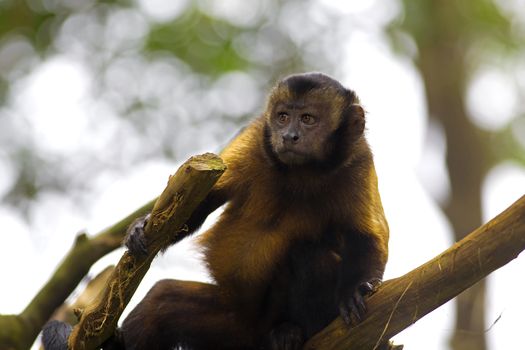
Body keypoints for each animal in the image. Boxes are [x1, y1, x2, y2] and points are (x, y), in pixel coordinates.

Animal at [43, 72, 388, 350]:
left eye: (307, 119)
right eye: (282, 117)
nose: (289, 136)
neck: (302, 172)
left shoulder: (358, 161)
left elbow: (368, 237)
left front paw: (355, 290)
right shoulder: (255, 138)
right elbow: (200, 199)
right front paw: (142, 226)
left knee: (310, 254)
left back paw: (292, 332)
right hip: (230, 325)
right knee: (161, 300)